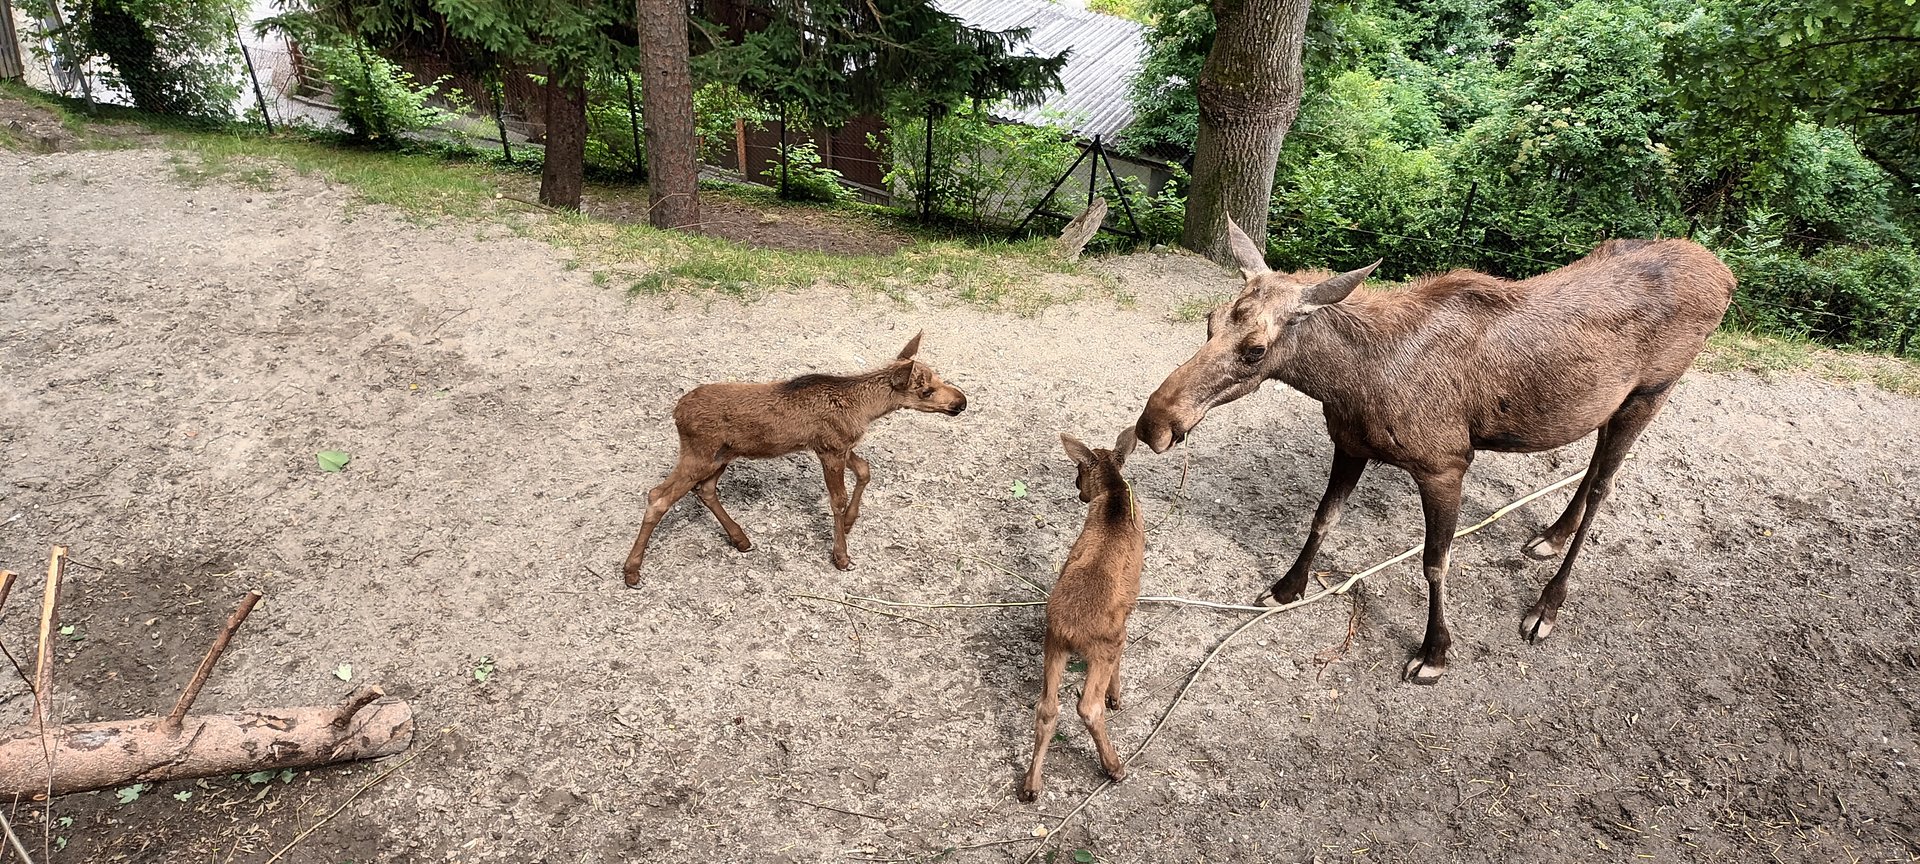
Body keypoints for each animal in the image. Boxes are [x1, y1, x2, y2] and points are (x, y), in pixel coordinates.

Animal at [621, 332, 967, 584]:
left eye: (938, 376)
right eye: (925, 390)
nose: (961, 401)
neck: (866, 410)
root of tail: (676, 412)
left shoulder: (839, 446)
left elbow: (865, 471)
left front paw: (851, 522)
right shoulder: (830, 448)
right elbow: (837, 499)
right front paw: (841, 556)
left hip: (722, 455)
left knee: (704, 489)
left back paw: (740, 538)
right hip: (700, 453)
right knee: (658, 496)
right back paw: (632, 570)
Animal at [1020, 426, 1143, 803]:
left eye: (1078, 471)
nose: (1078, 488)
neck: (1116, 497)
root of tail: (1073, 632)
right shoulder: (1124, 621)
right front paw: (1116, 696)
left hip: (1053, 642)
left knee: (1047, 707)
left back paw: (1031, 785)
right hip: (1102, 645)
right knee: (1088, 707)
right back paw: (1115, 766)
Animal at [1134, 218, 1733, 684]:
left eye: (1256, 349)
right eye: (1209, 321)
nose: (1153, 424)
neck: (1350, 384)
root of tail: (1726, 276)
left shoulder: (1445, 463)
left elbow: (1434, 562)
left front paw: (1434, 652)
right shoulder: (1349, 443)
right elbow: (1323, 520)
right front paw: (1287, 588)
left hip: (1651, 391)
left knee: (1607, 486)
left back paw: (1546, 606)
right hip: (1606, 403)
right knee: (1592, 470)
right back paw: (1549, 535)